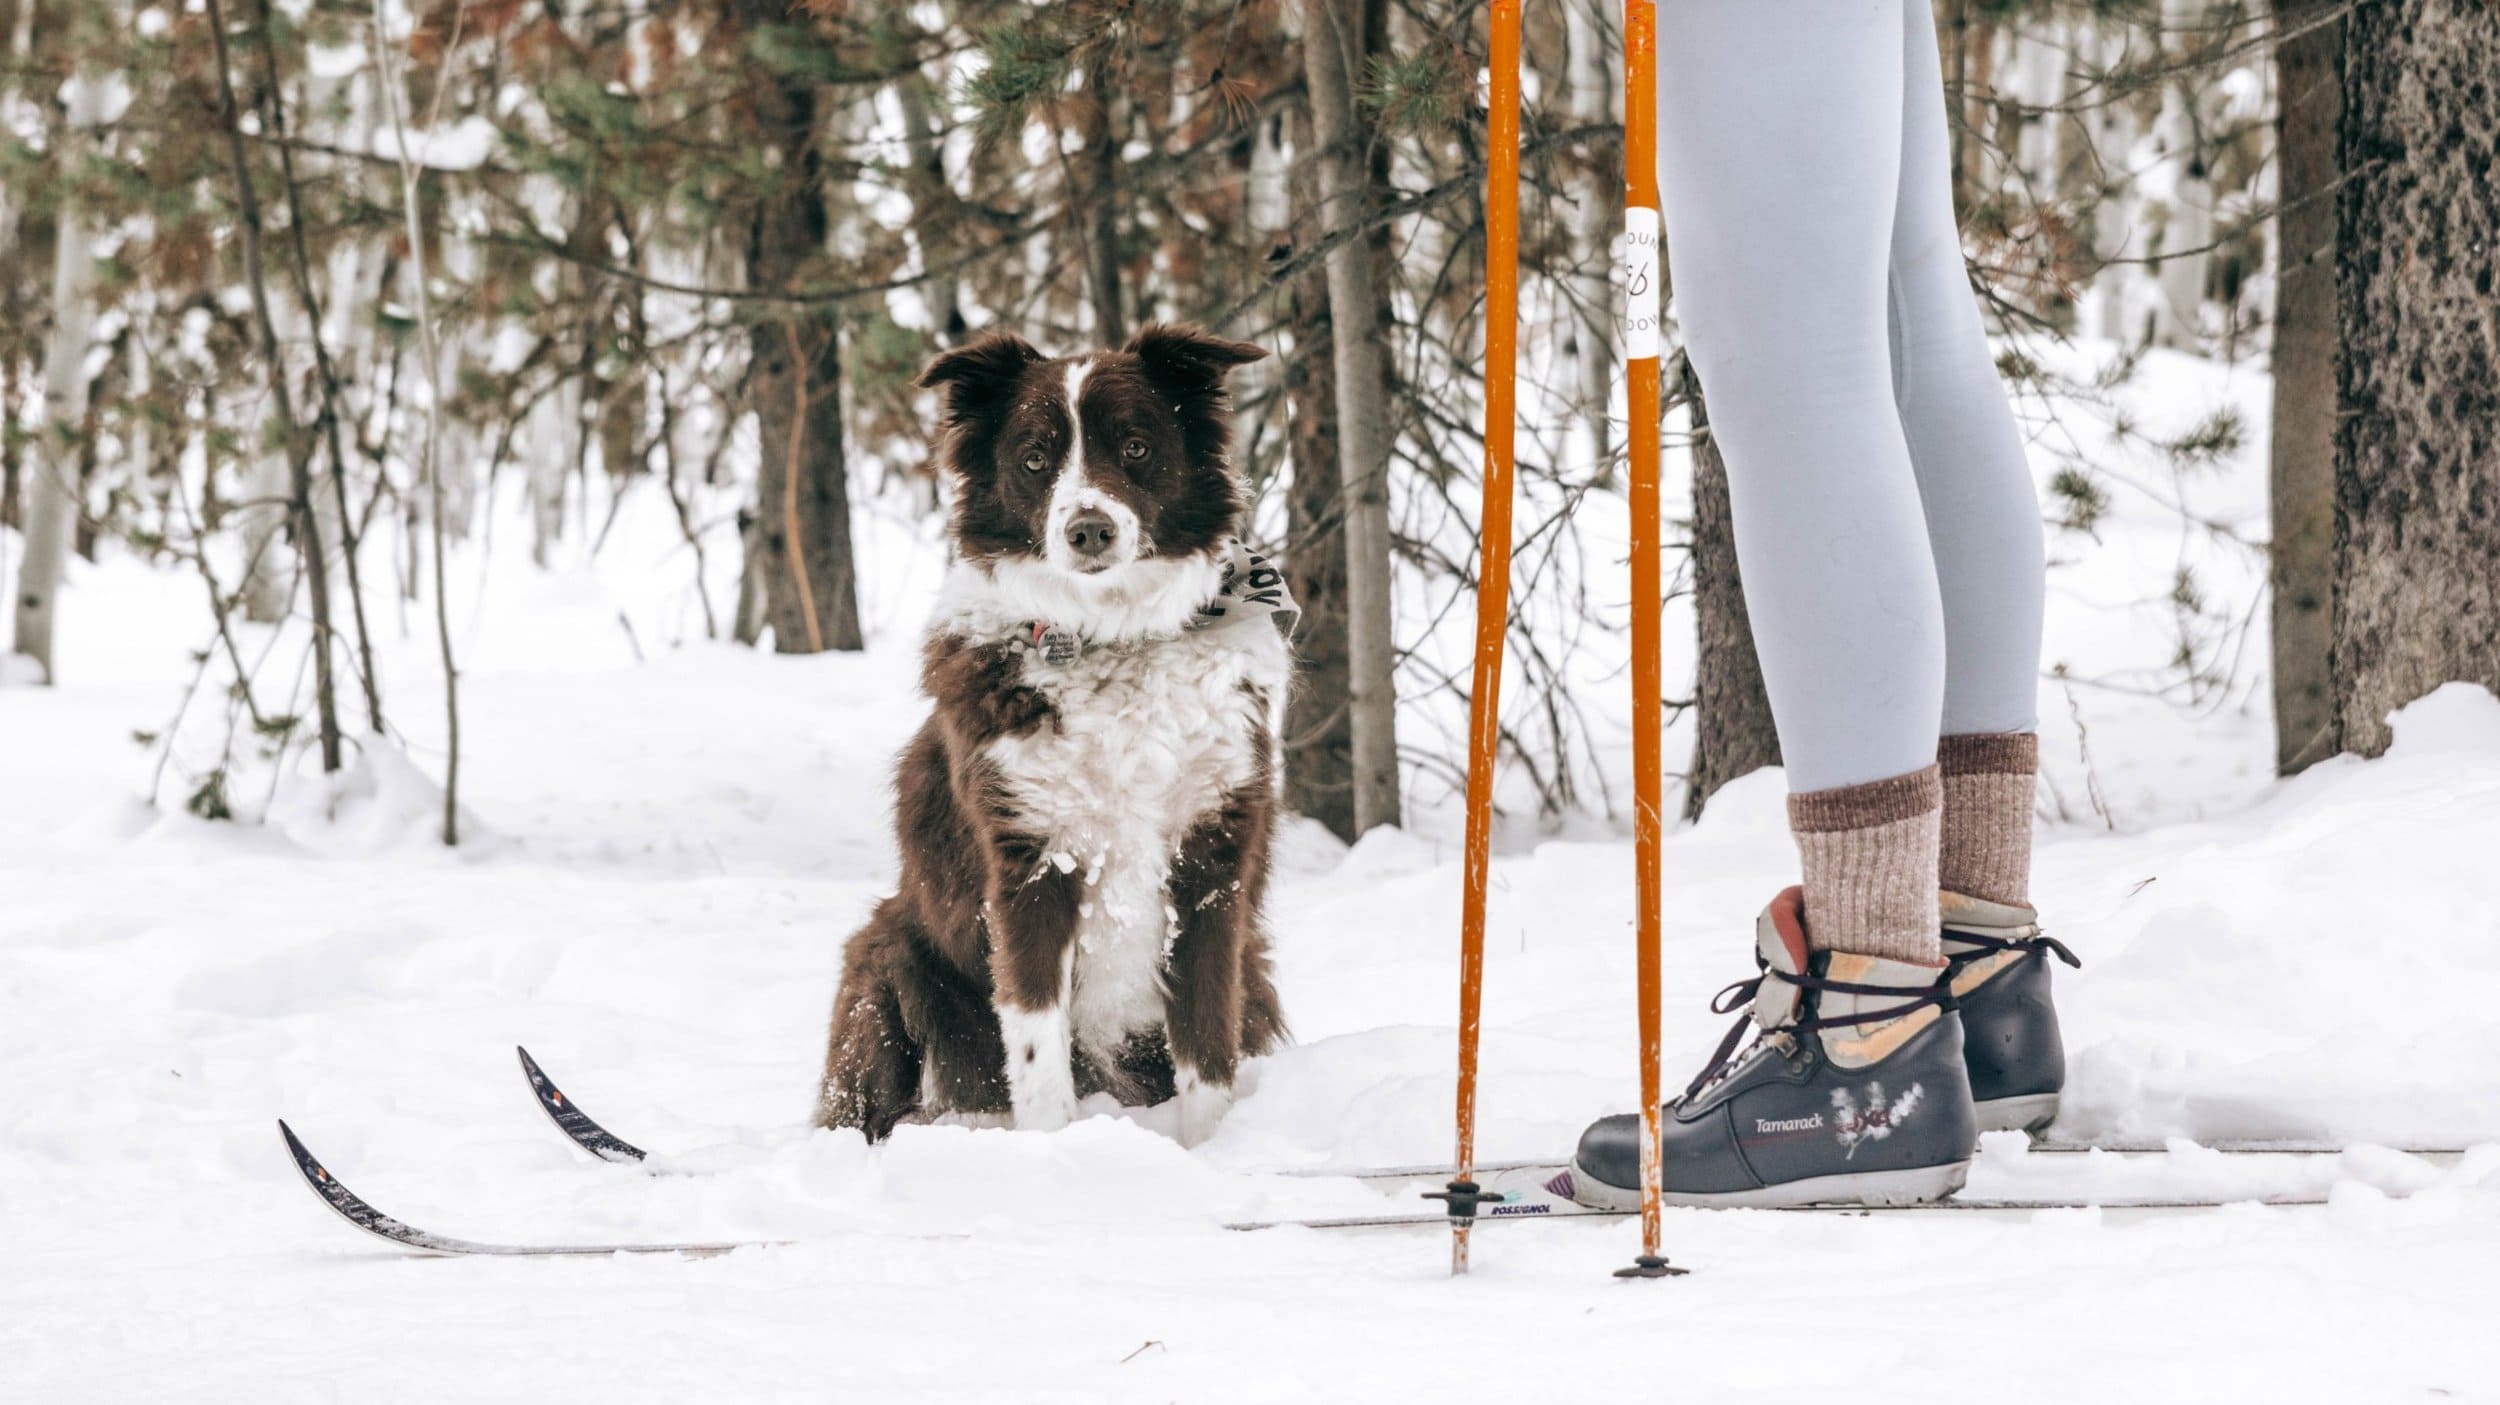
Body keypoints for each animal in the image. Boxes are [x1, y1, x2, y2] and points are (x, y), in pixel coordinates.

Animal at [815, 322, 1290, 1145]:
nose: (1087, 529)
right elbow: (1036, 1049)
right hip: (887, 958)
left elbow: (1206, 1045)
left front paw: (1208, 1150)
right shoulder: (1030, 862)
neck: (1113, 639)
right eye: (1035, 459)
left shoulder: (1212, 862)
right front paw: (1054, 1153)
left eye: (1135, 446)